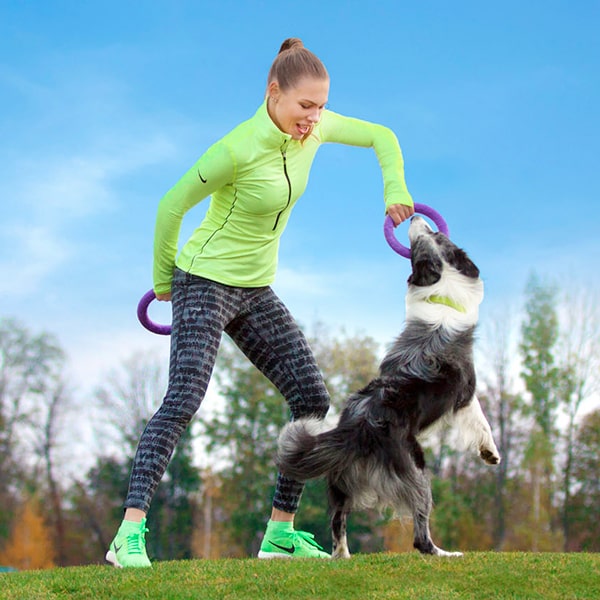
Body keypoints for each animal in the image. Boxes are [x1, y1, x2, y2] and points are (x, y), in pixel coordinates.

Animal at [276, 216, 502, 556]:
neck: (442, 290)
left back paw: (342, 556)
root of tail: (360, 424)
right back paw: (444, 552)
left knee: (338, 520)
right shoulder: (465, 391)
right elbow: (480, 419)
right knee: (420, 533)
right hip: (415, 468)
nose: (414, 217)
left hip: (342, 477)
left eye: (433, 235)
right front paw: (490, 453)